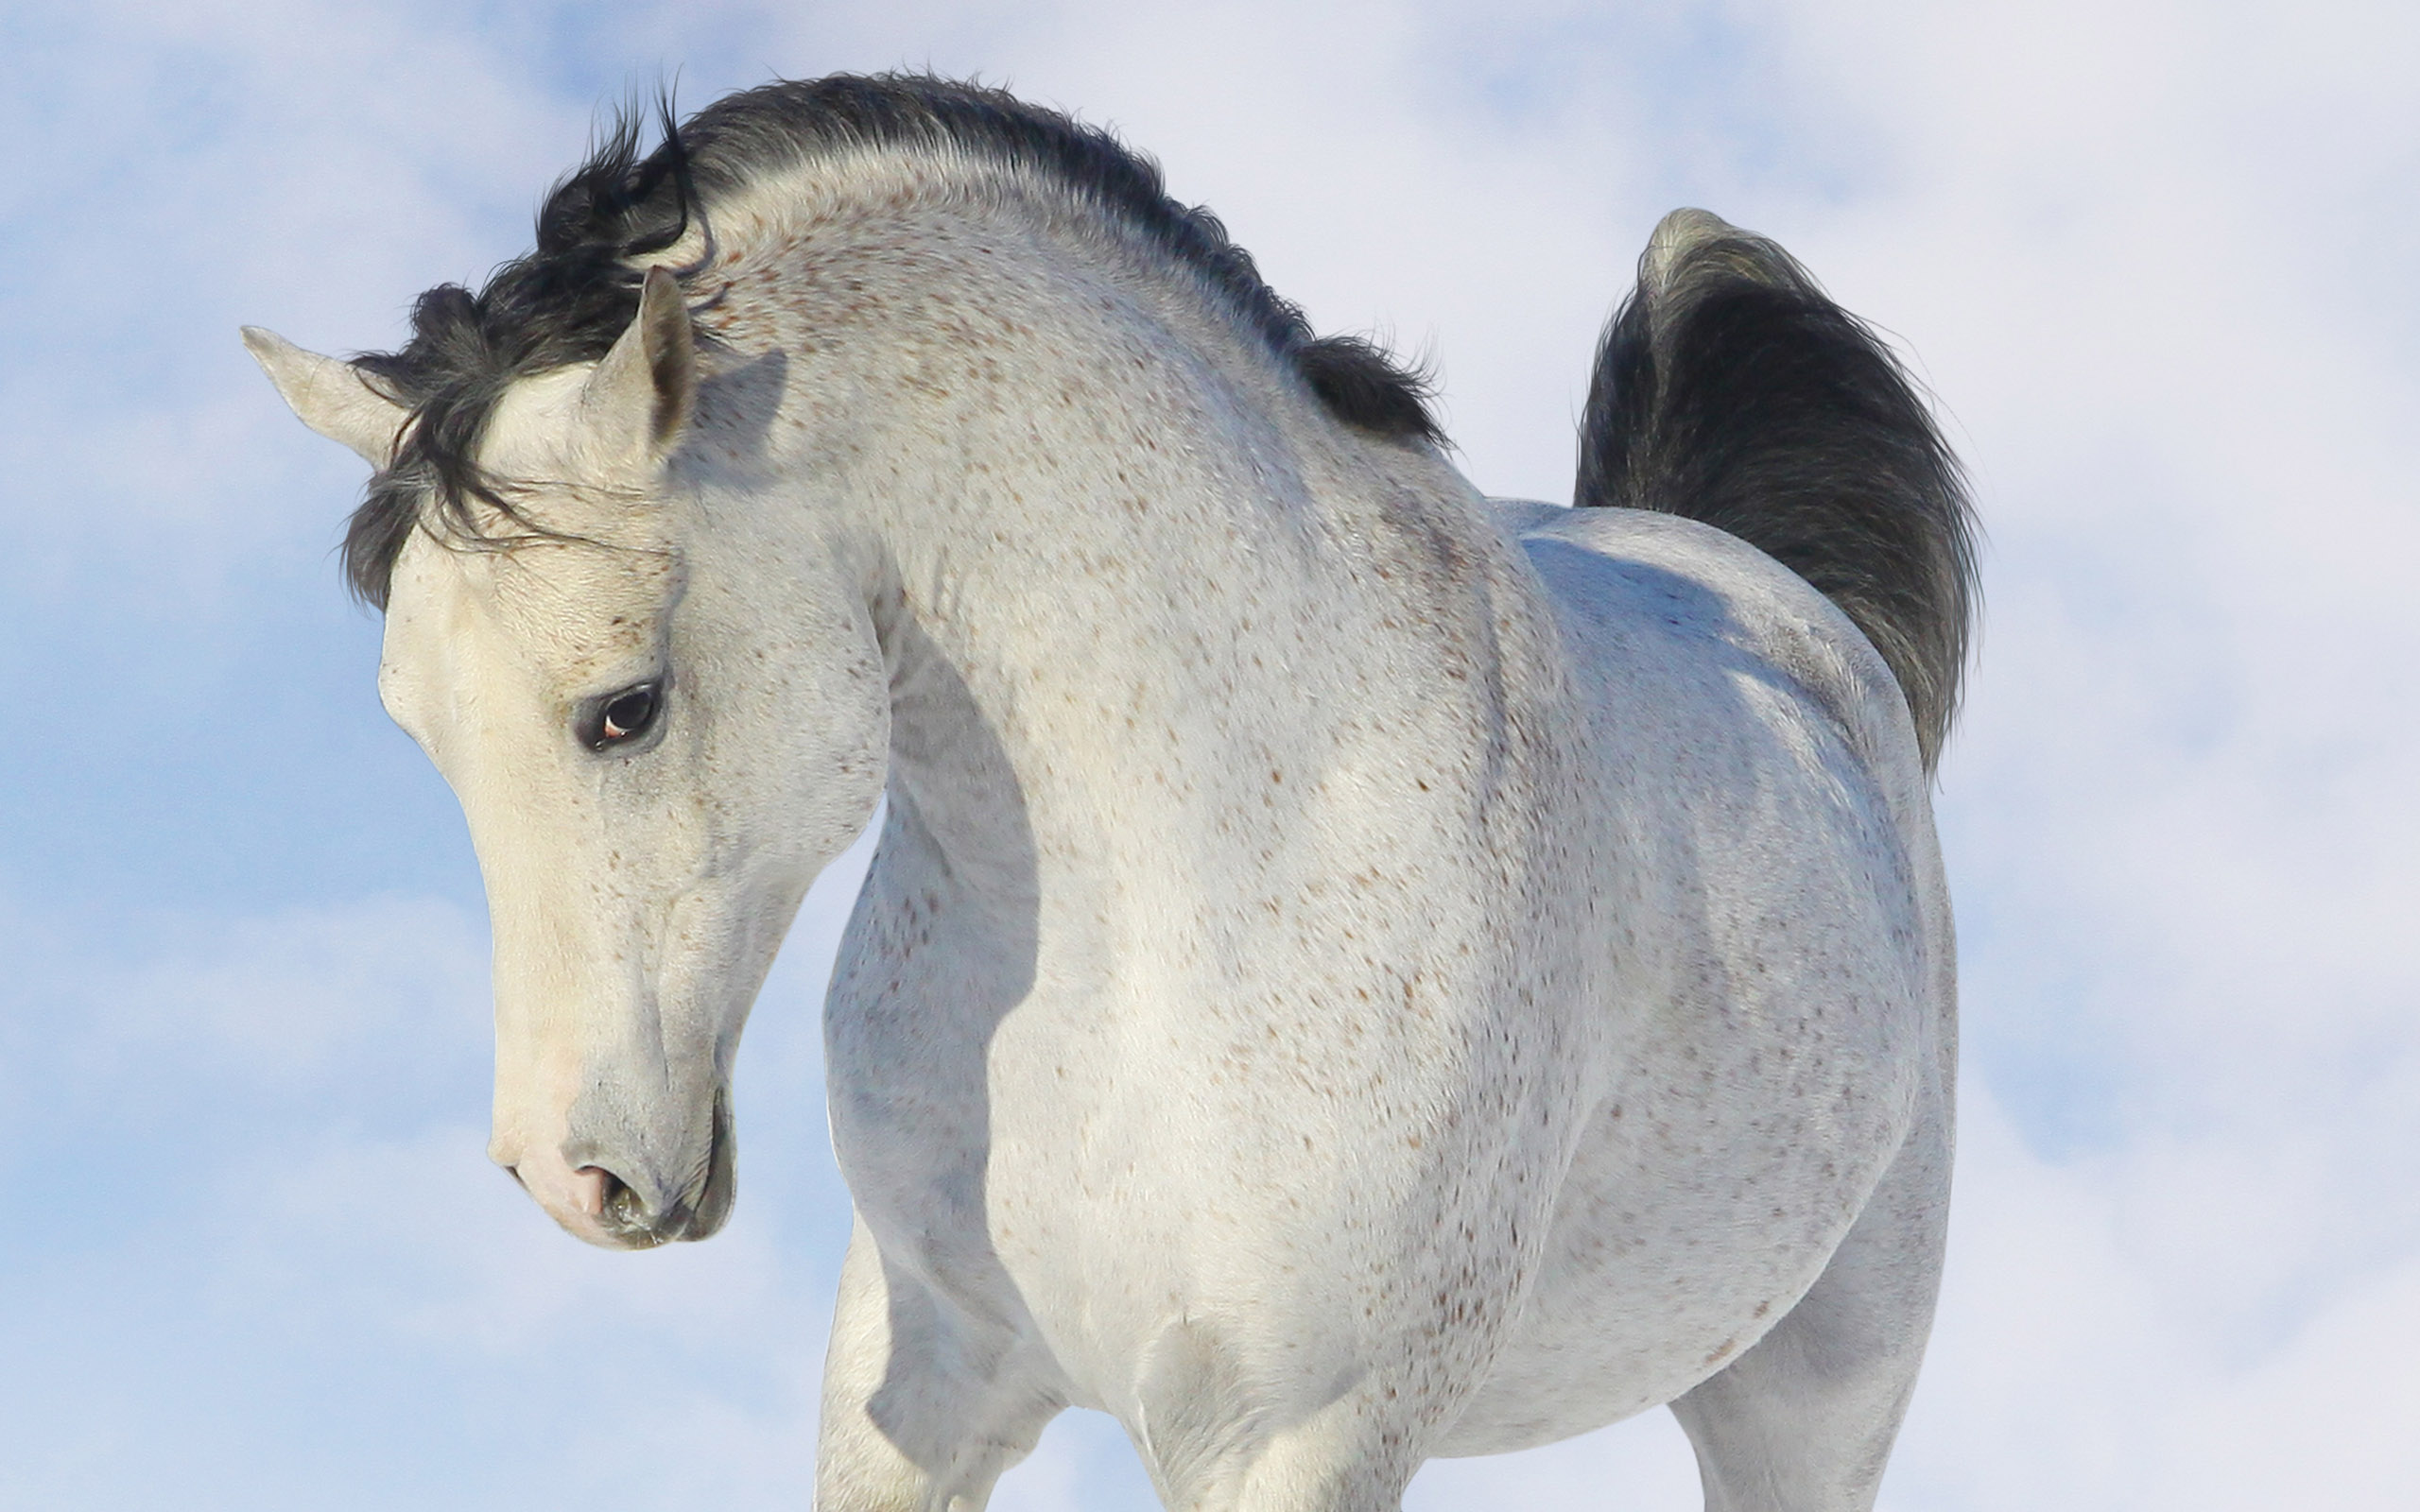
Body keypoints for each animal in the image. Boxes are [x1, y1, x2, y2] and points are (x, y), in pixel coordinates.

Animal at [245, 74, 1974, 1509]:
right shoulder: (922, 1386)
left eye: (625, 709)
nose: (571, 1172)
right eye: (419, 729)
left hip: (1810, 1402)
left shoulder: (1296, 1441)